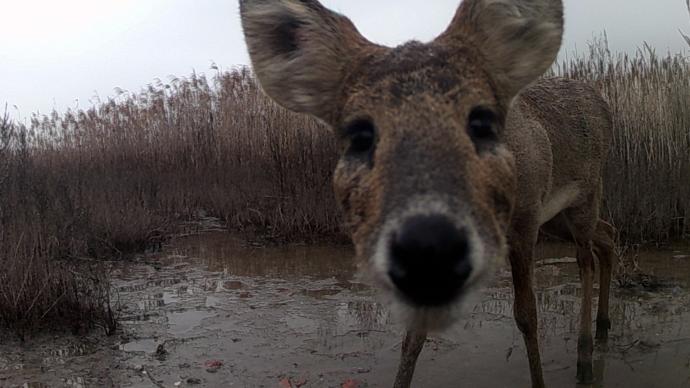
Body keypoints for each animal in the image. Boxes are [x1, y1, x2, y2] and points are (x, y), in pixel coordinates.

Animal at [238, 1, 612, 386]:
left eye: (481, 123)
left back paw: (585, 355)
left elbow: (526, 315)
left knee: (586, 257)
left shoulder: (524, 218)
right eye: (359, 136)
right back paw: (602, 328)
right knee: (608, 236)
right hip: (558, 217)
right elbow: (413, 336)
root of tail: (603, 100)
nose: (427, 237)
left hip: (585, 194)